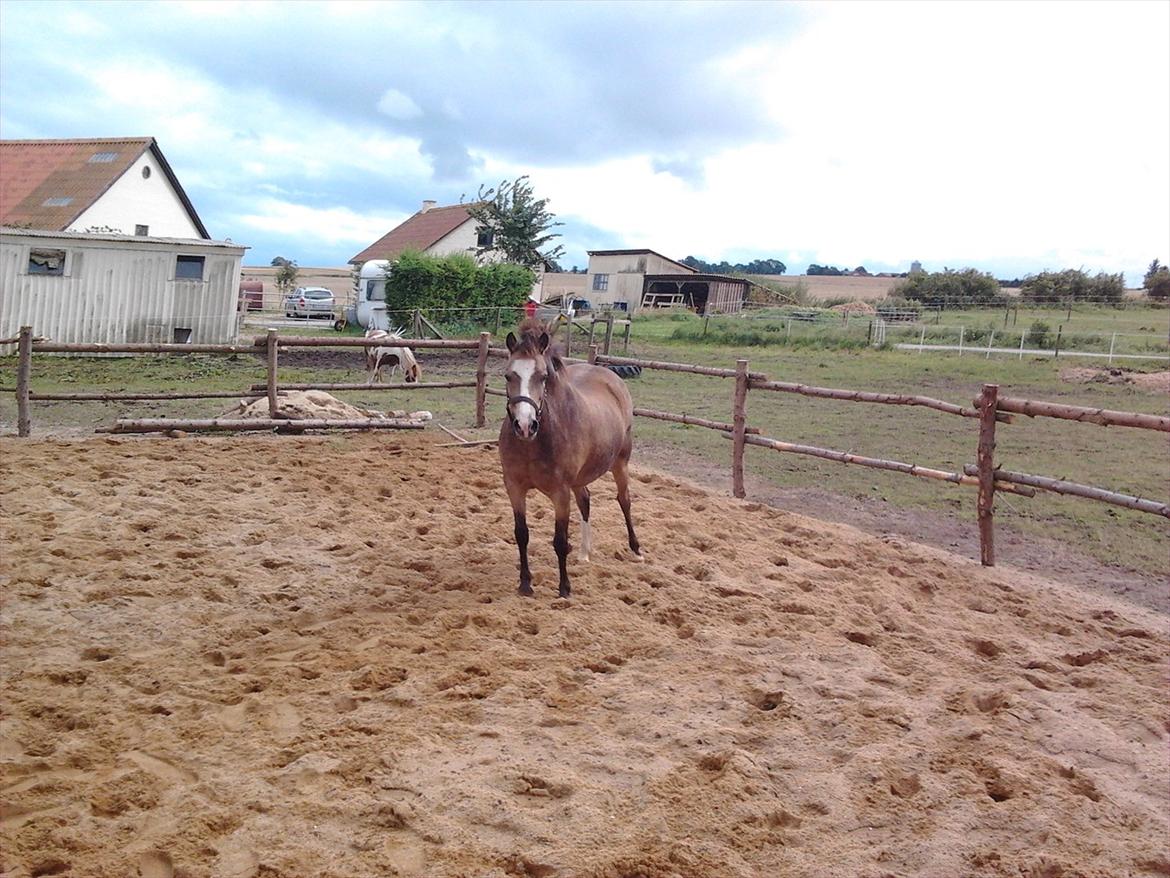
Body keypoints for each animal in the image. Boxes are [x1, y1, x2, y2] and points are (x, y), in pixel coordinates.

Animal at [493, 320, 641, 604]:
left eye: (542, 376)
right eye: (508, 375)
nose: (525, 425)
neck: (534, 442)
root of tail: (612, 377)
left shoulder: (560, 493)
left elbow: (560, 541)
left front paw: (564, 588)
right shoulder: (514, 487)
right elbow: (521, 534)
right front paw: (525, 584)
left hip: (621, 462)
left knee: (624, 500)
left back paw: (636, 549)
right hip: (580, 479)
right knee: (585, 500)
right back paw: (584, 552)